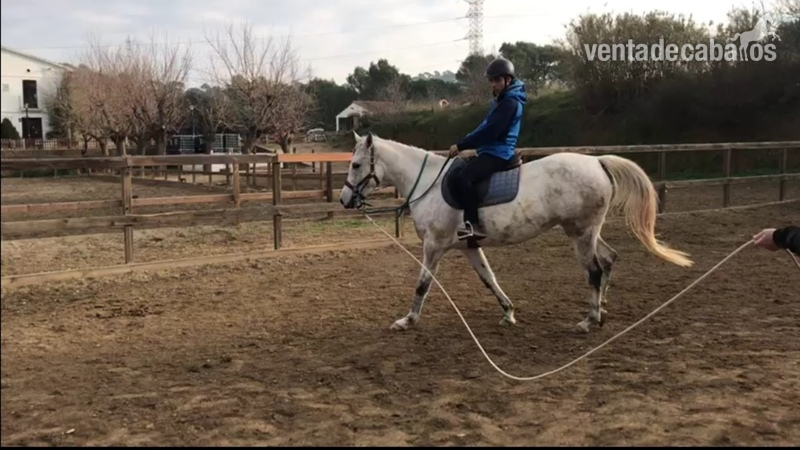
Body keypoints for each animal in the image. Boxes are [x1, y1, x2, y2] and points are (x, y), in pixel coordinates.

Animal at [339, 132, 693, 333]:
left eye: (356, 165)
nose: (344, 200)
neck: (428, 182)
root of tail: (598, 163)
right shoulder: (469, 246)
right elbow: (489, 279)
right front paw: (508, 313)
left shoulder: (434, 245)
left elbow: (422, 284)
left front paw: (407, 321)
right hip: (588, 231)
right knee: (608, 260)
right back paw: (601, 309)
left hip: (580, 233)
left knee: (594, 269)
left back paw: (589, 320)